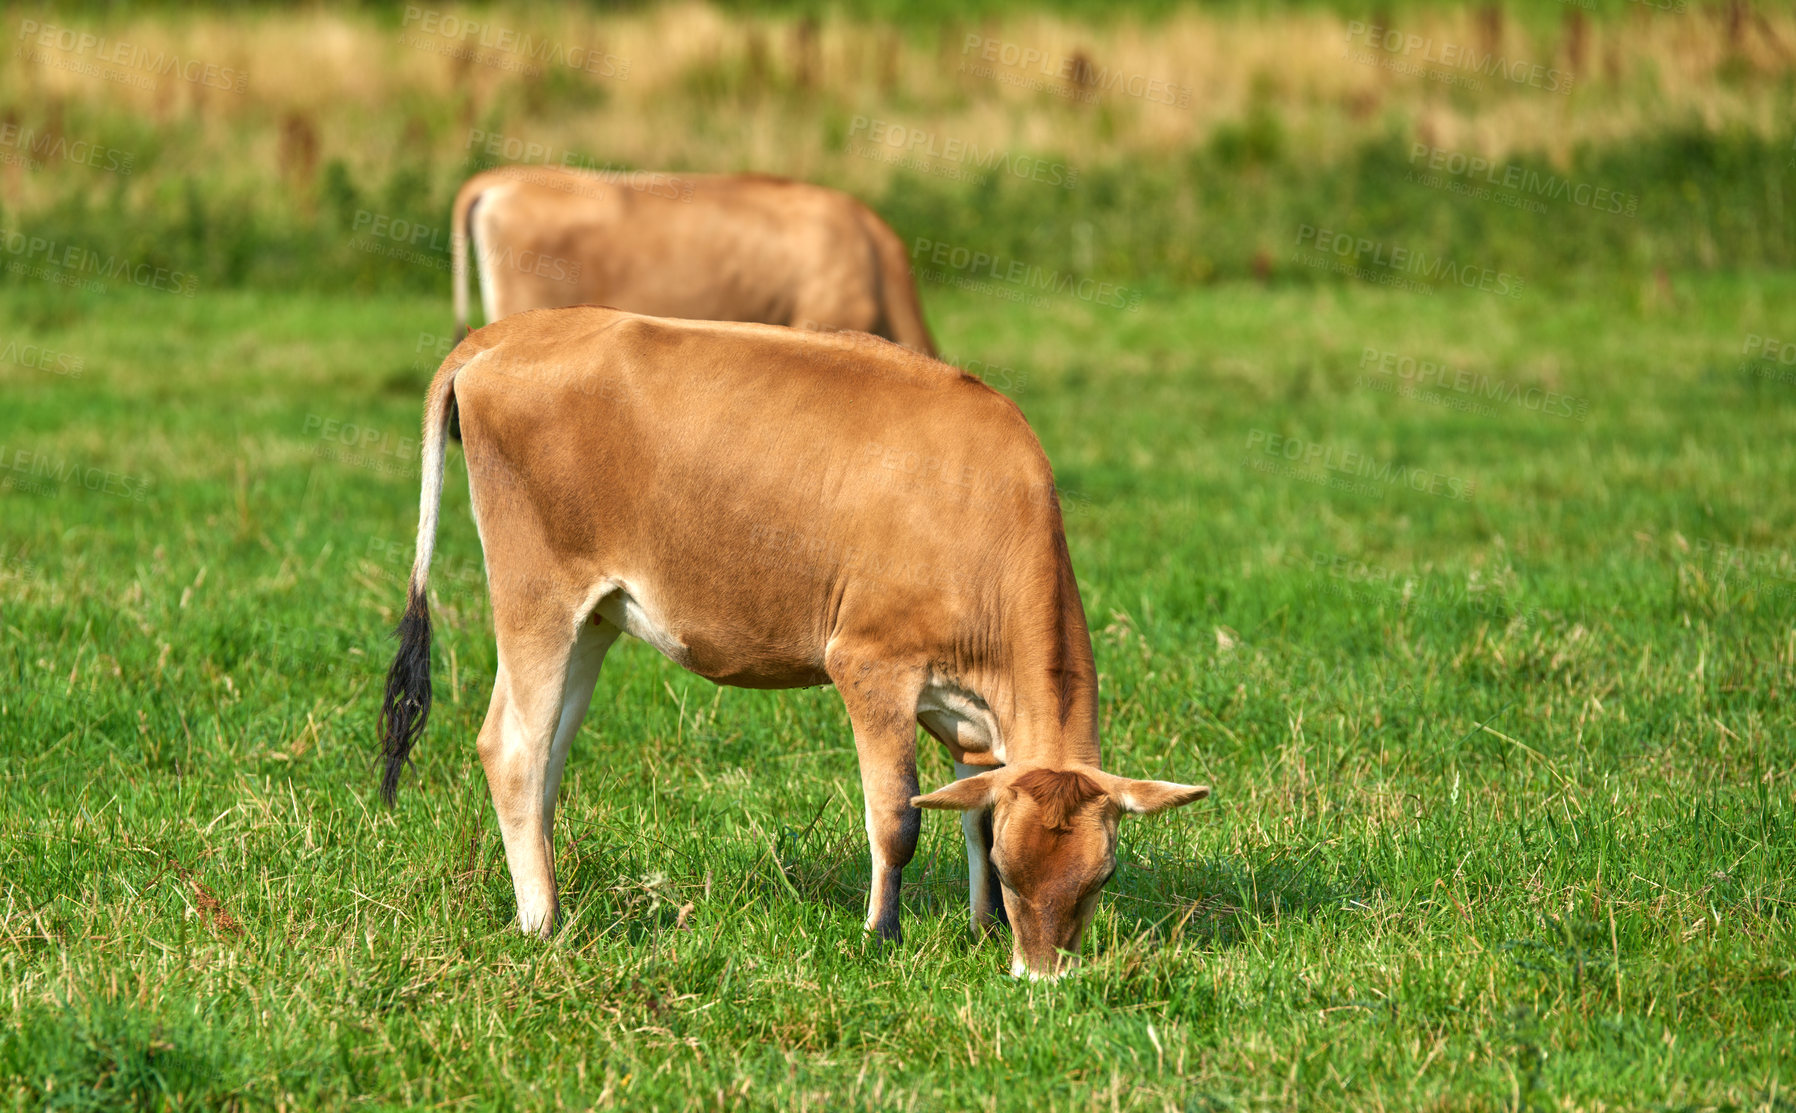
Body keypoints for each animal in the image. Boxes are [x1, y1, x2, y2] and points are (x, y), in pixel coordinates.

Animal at [384, 305, 1214, 976]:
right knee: (512, 747)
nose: (1042, 976)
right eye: (1015, 874)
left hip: (592, 618)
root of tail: (508, 332)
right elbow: (899, 816)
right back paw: (541, 923)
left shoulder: (970, 716)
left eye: (1101, 878)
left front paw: (980, 929)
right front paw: (881, 934)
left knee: (547, 752)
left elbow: (972, 808)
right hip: (537, 592)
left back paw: (551, 898)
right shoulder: (872, 664)